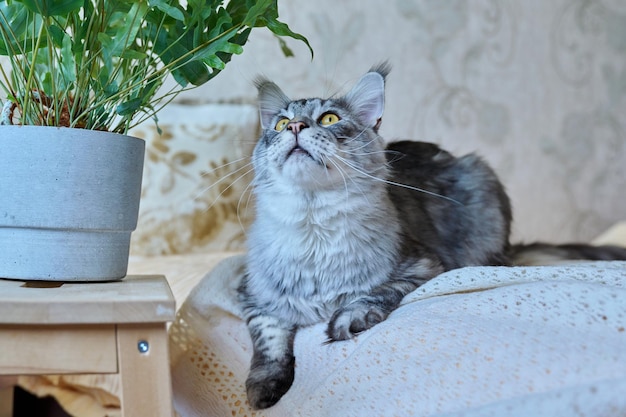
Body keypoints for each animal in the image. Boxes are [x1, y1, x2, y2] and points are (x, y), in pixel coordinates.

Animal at [235, 63, 624, 408]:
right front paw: (263, 388)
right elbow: (268, 342)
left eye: (329, 119)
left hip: (481, 185)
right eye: (281, 123)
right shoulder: (253, 294)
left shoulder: (421, 267)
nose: (296, 126)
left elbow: (370, 295)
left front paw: (346, 320)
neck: (313, 225)